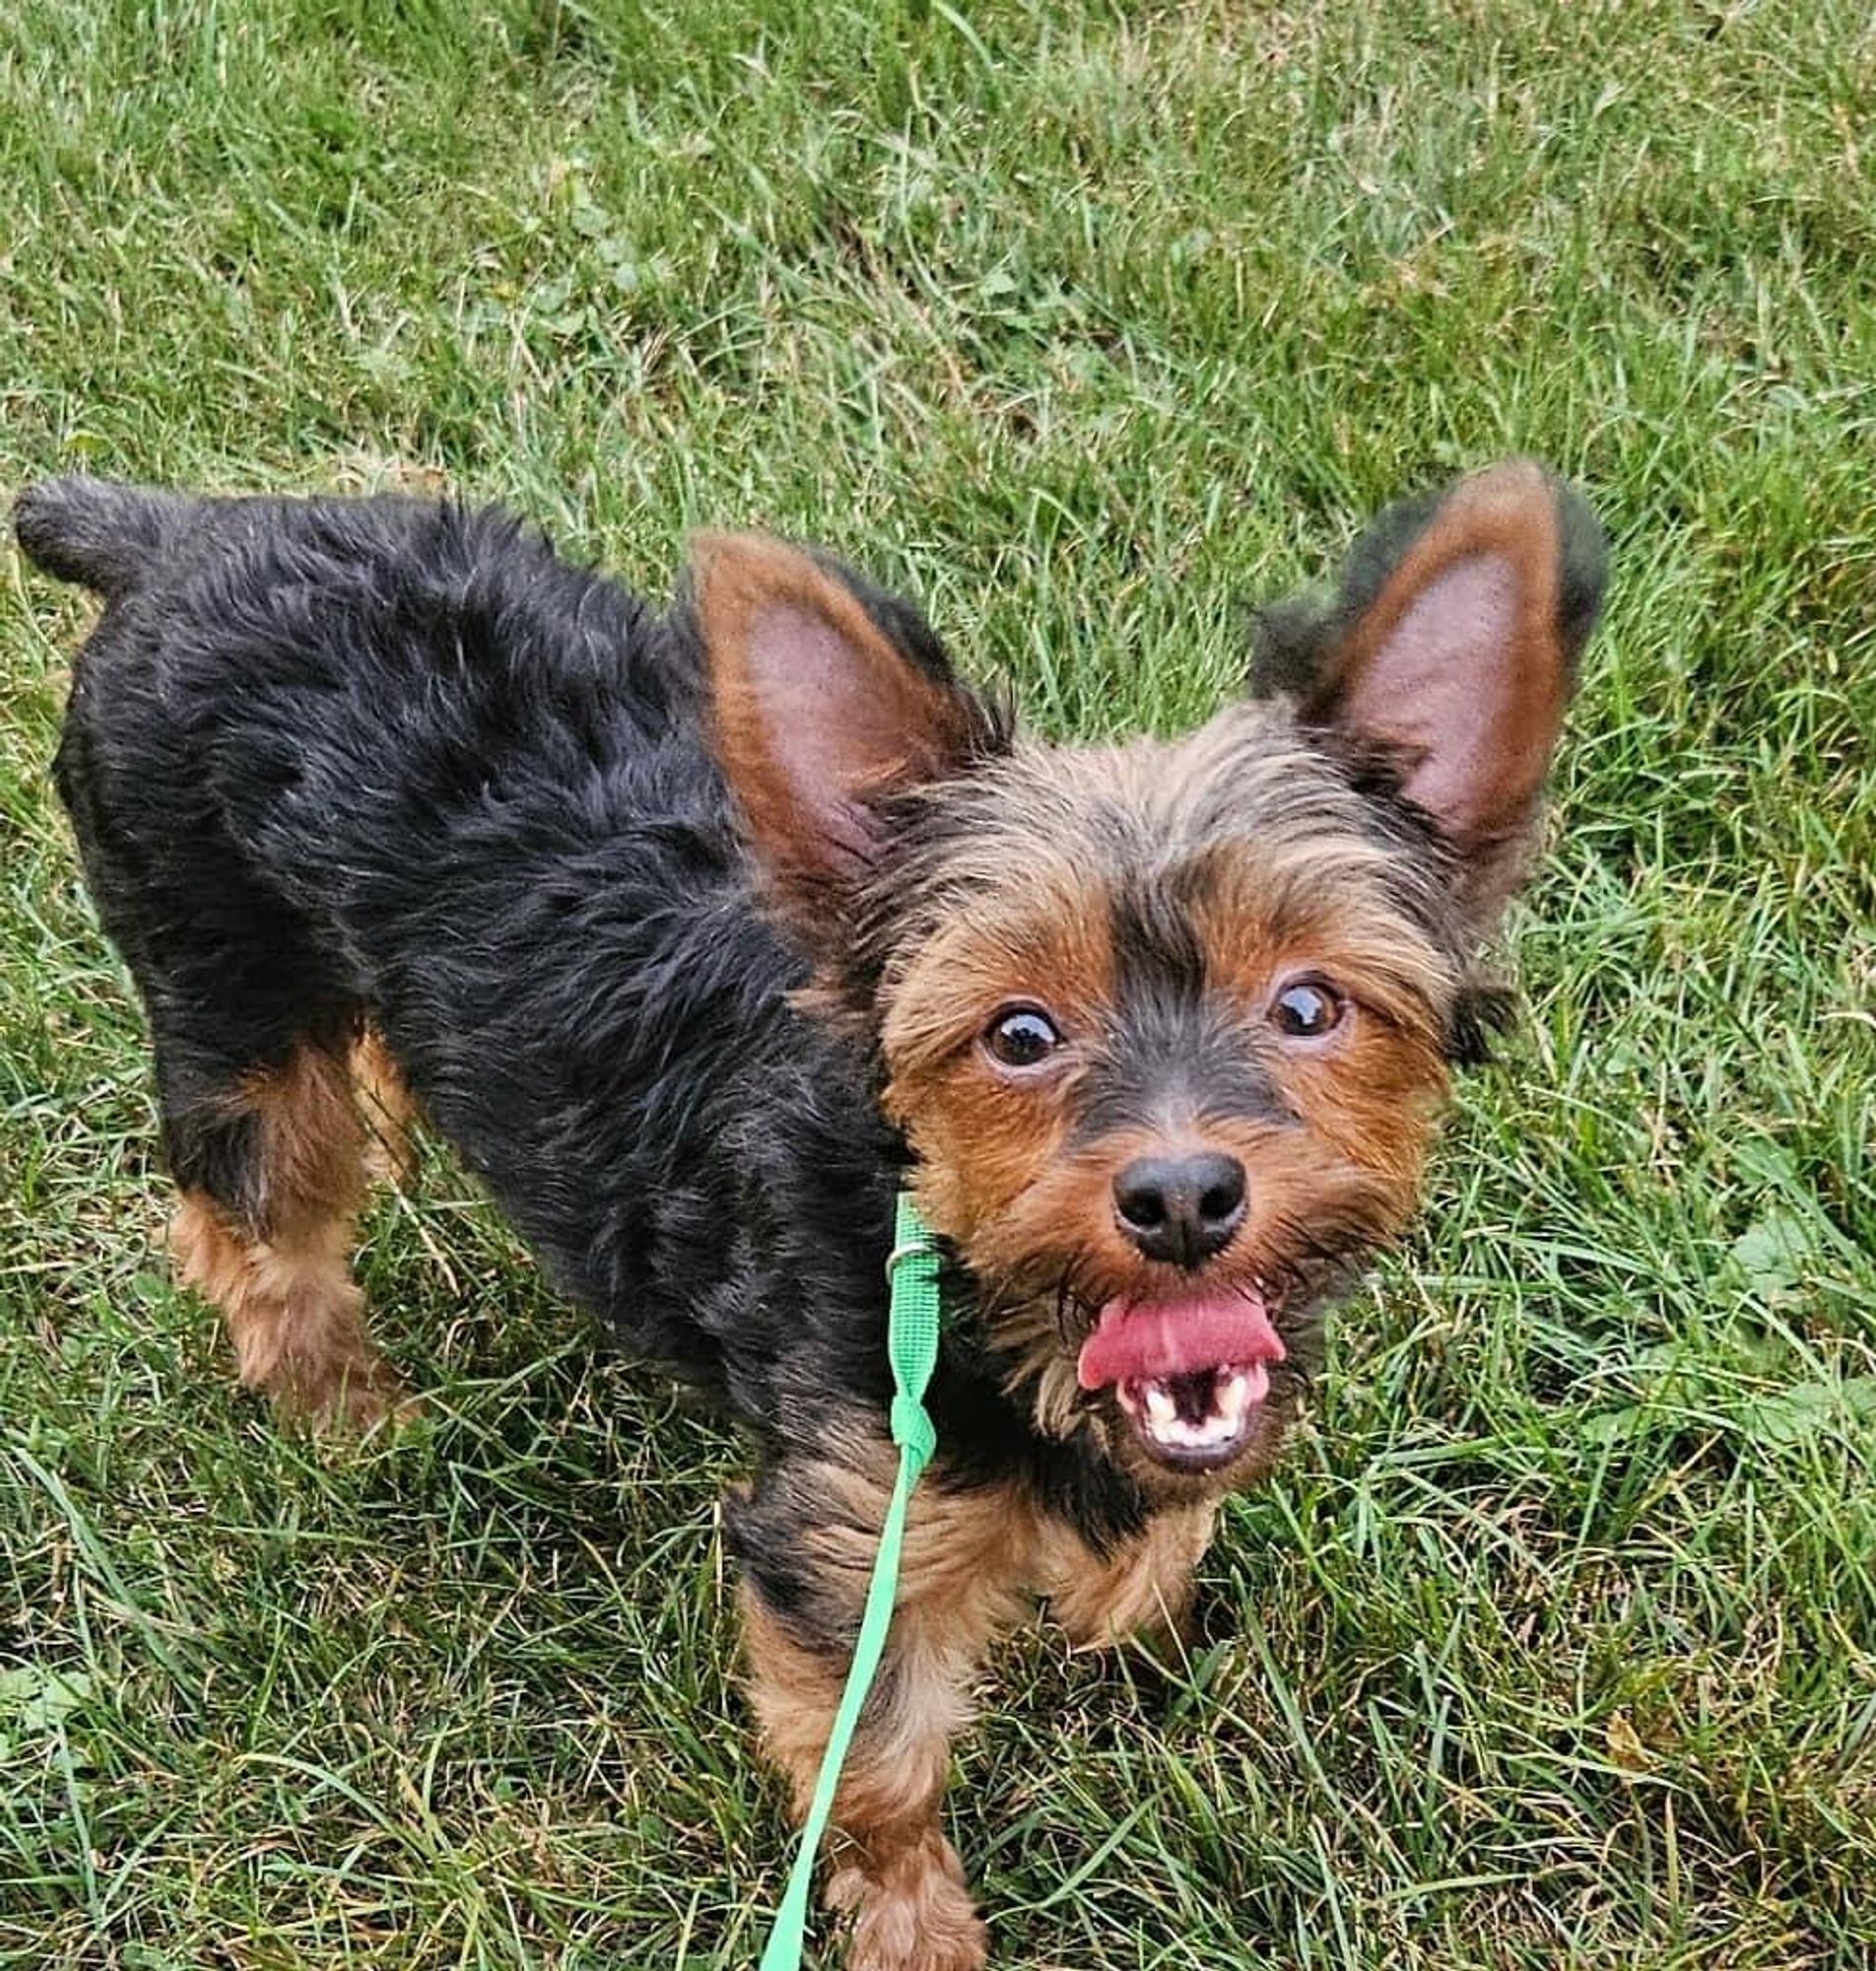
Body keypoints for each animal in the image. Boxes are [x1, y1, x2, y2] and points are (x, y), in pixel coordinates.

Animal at [11, 465, 1600, 1971]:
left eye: (1310, 1006)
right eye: (1018, 1035)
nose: (1181, 1194)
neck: (958, 1273)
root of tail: (177, 538)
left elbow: (1156, 1536)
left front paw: (1128, 1624)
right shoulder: (845, 1527)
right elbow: (877, 1762)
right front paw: (913, 1930)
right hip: (221, 976)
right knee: (247, 1216)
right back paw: (340, 1404)